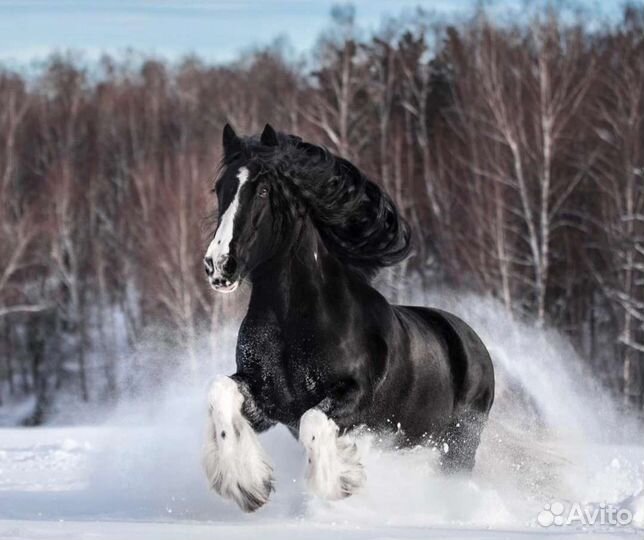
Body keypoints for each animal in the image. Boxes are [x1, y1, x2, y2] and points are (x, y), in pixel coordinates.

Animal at [202, 123, 495, 512]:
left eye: (263, 190)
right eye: (220, 189)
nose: (219, 265)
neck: (292, 322)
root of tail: (474, 342)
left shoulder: (354, 400)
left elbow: (313, 423)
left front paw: (341, 480)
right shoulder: (271, 402)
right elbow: (220, 393)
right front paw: (248, 485)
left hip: (460, 446)